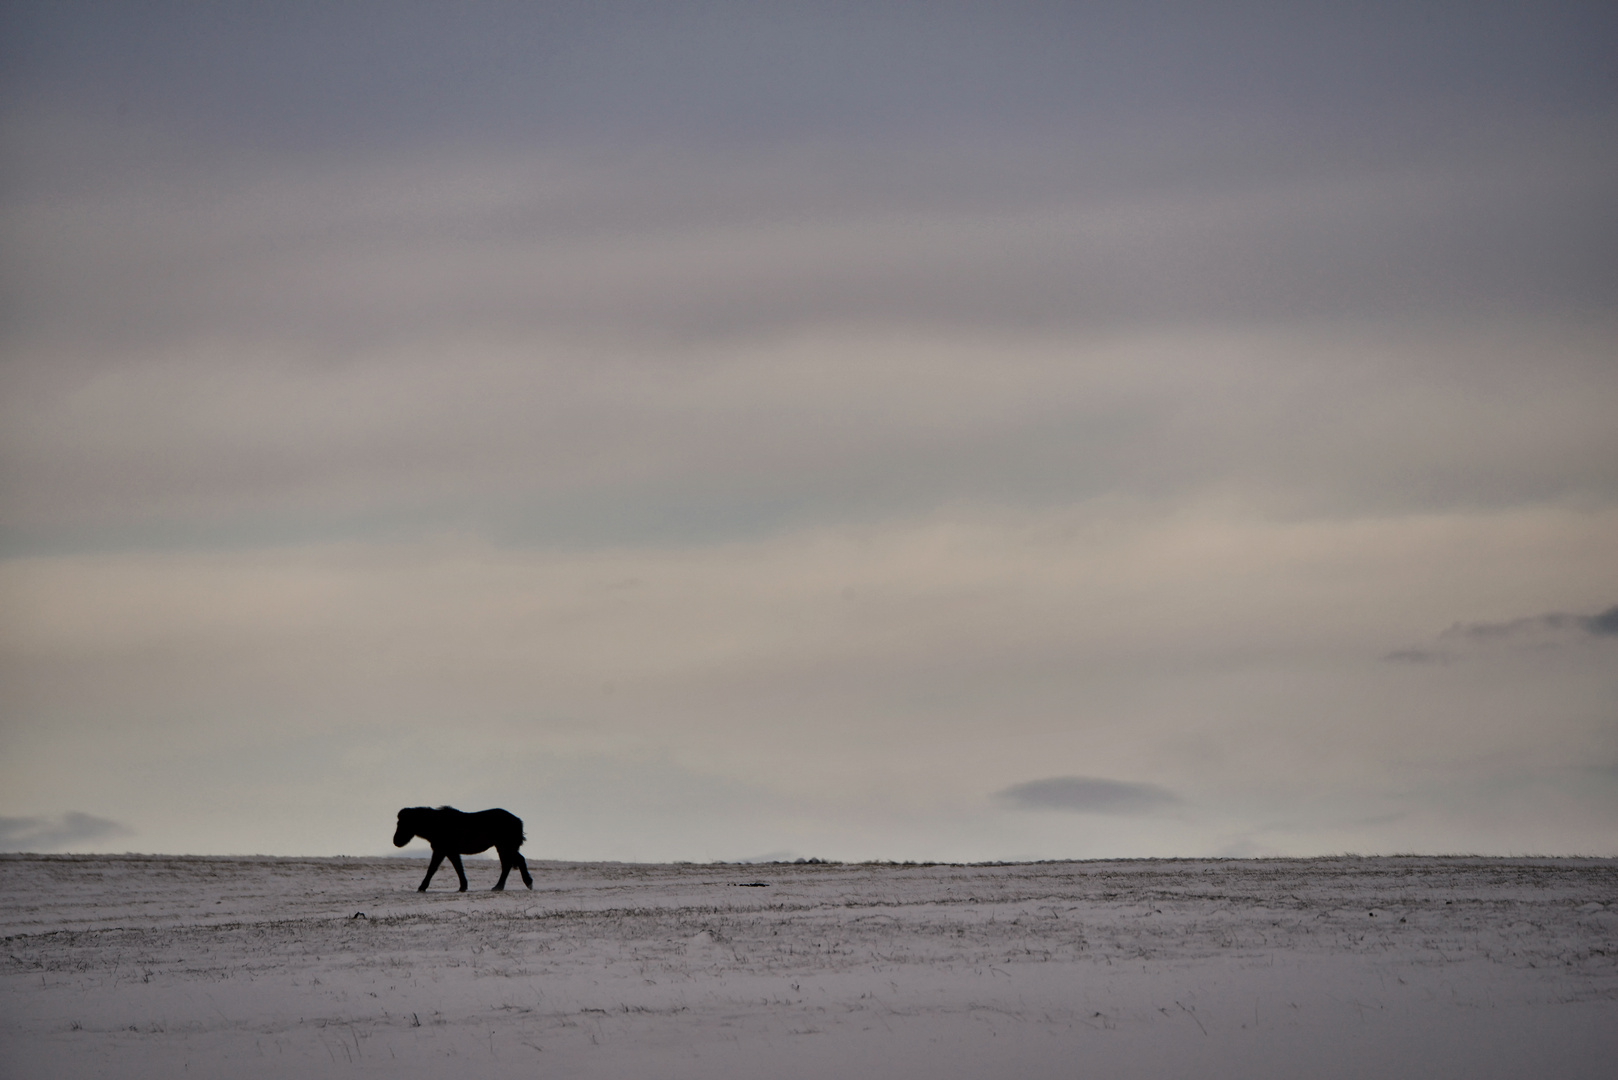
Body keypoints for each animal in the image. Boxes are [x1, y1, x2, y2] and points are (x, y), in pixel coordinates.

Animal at [389, 806, 530, 893]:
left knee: (510, 864)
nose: (396, 842)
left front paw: (422, 887)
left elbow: (432, 869)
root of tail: (518, 820)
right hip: (505, 847)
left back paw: (511, 885)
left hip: (505, 847)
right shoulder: (451, 852)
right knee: (513, 862)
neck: (437, 825)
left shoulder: (441, 850)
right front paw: (463, 886)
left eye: (403, 824)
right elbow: (458, 868)